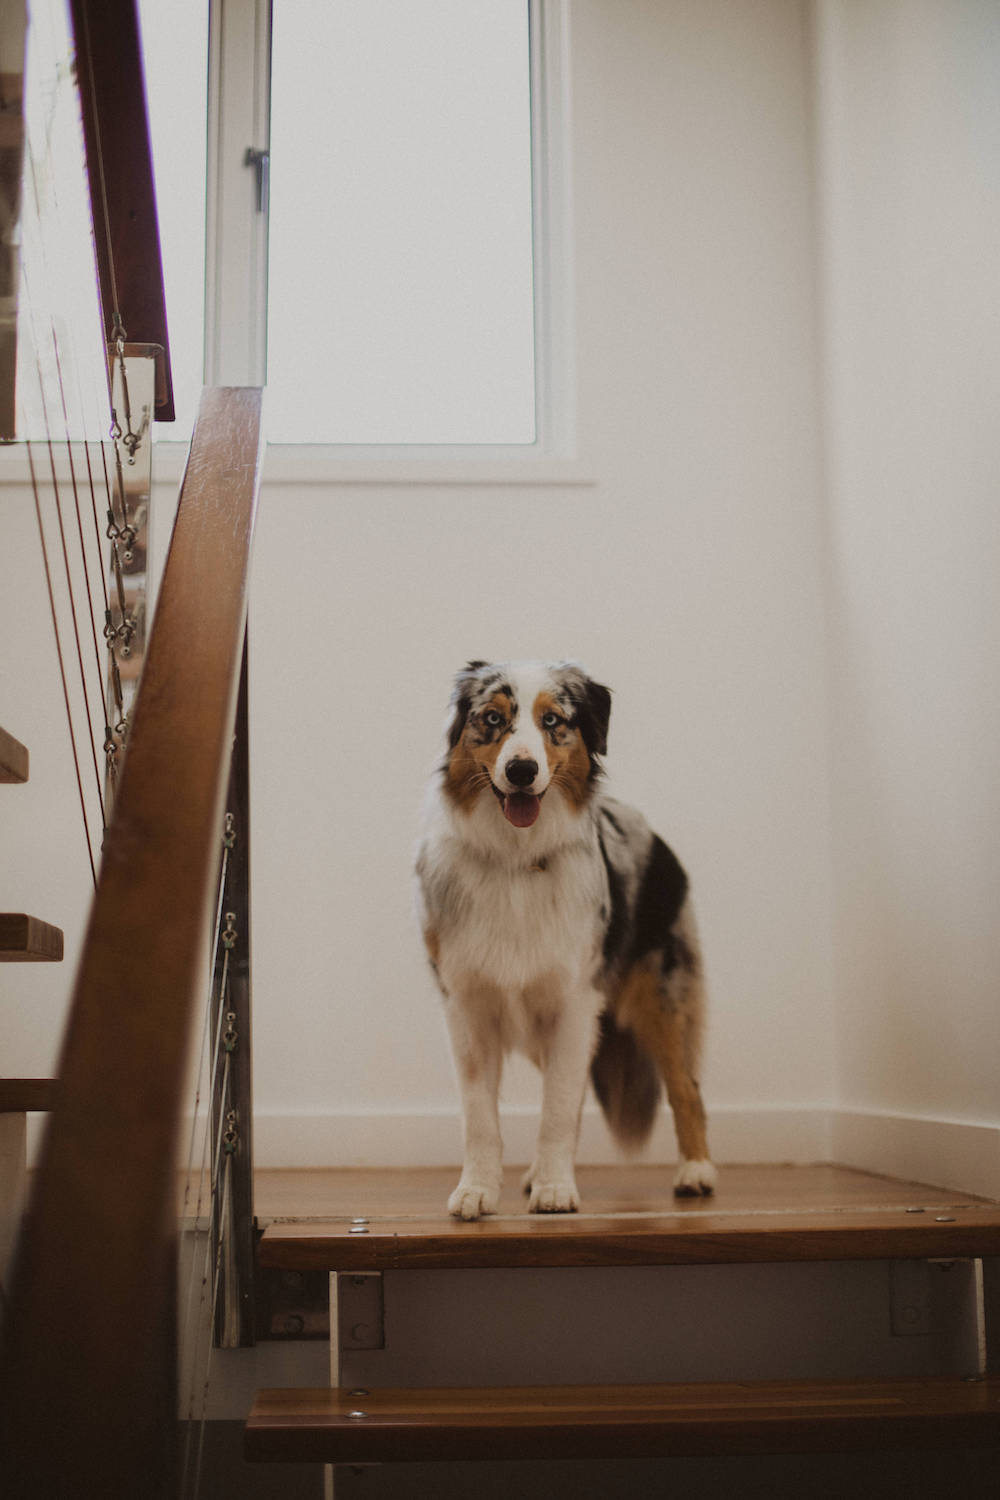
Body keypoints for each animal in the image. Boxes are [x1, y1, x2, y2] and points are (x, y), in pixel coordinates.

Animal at [416, 663, 719, 1224]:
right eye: (493, 719)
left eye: (553, 720)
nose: (520, 770)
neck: (516, 860)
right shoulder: (467, 1007)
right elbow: (481, 1117)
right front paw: (477, 1190)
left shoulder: (573, 1001)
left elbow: (556, 1110)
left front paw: (556, 1190)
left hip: (659, 999)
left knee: (686, 1087)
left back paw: (697, 1171)